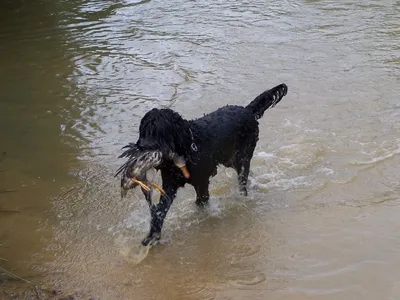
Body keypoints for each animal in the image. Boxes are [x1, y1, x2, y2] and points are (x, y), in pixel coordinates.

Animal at [115, 82, 288, 246]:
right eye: (143, 130)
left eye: (157, 131)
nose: (141, 148)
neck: (186, 148)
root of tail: (247, 110)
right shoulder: (170, 184)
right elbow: (161, 209)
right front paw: (153, 235)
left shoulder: (202, 183)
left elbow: (201, 201)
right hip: (230, 160)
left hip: (242, 158)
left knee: (243, 179)